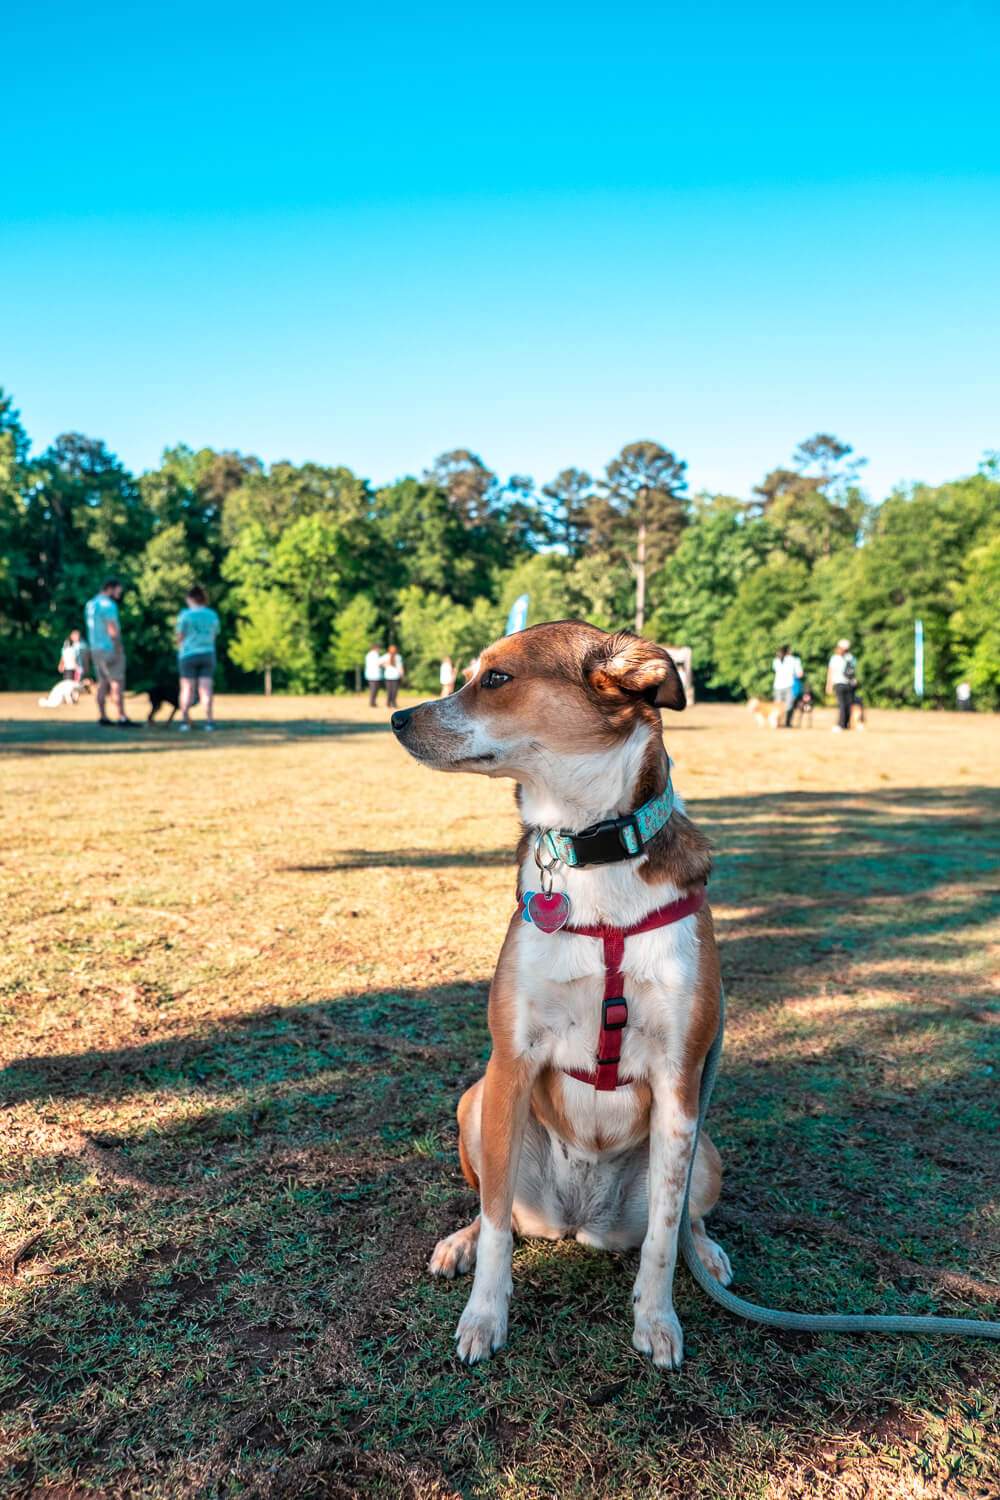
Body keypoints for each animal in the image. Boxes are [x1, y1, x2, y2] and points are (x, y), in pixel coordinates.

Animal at [392, 615, 734, 1368]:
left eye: (496, 677)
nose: (397, 716)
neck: (592, 852)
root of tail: (578, 1221)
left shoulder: (680, 1082)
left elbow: (663, 1236)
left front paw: (657, 1319)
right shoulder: (511, 1059)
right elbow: (496, 1229)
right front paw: (484, 1316)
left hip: (706, 1151)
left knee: (684, 1221)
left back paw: (707, 1253)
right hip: (476, 1104)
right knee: (495, 1209)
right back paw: (459, 1243)